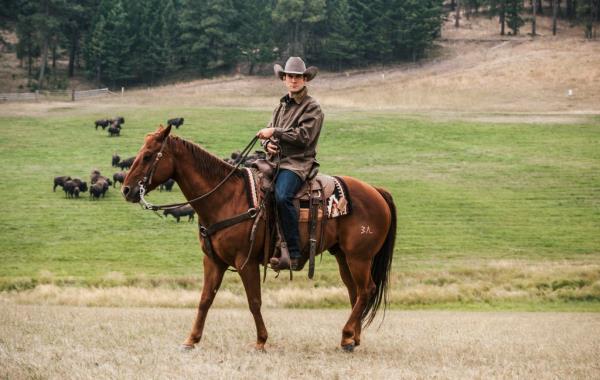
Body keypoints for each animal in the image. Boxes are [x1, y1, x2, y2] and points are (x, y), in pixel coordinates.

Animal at [120, 126, 394, 352]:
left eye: (148, 155)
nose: (127, 190)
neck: (224, 197)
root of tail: (376, 191)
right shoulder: (213, 261)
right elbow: (205, 299)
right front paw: (191, 340)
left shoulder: (246, 261)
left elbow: (253, 301)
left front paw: (261, 341)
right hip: (343, 256)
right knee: (354, 291)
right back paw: (352, 338)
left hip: (360, 257)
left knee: (366, 290)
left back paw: (347, 334)